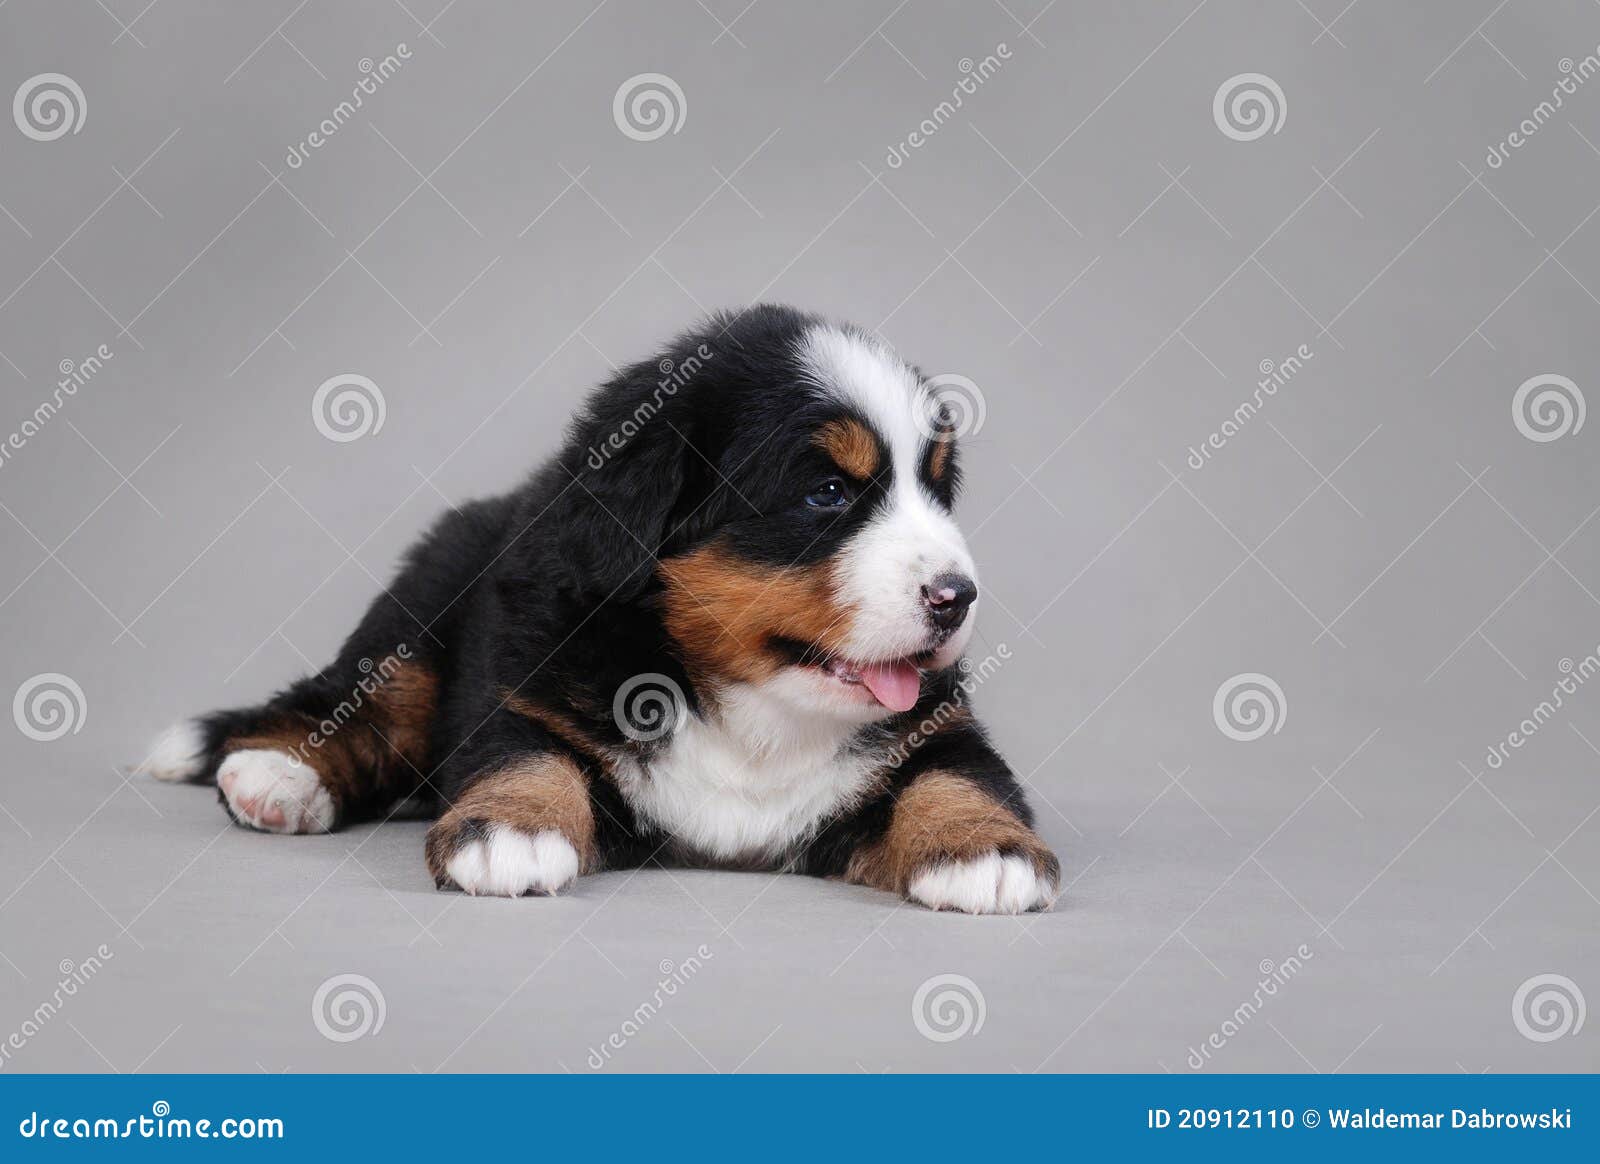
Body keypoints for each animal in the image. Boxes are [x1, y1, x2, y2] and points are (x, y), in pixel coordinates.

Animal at [137, 305, 1056, 914]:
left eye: (937, 491)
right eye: (827, 493)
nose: (957, 597)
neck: (748, 712)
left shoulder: (937, 720)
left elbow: (959, 772)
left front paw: (984, 847)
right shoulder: (528, 684)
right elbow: (525, 755)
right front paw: (509, 833)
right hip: (418, 622)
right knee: (353, 712)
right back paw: (277, 777)